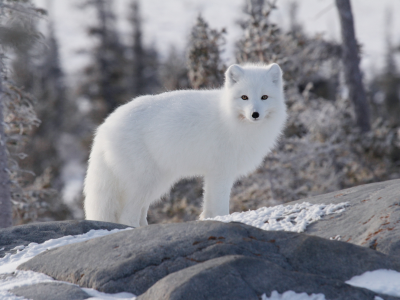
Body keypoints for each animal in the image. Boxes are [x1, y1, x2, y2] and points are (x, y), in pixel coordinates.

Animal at [84, 63, 288, 227]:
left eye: (264, 97)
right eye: (244, 97)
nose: (255, 114)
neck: (229, 118)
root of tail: (105, 125)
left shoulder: (215, 174)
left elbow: (209, 206)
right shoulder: (220, 172)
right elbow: (220, 206)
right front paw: (223, 220)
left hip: (157, 182)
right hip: (145, 181)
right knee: (126, 216)